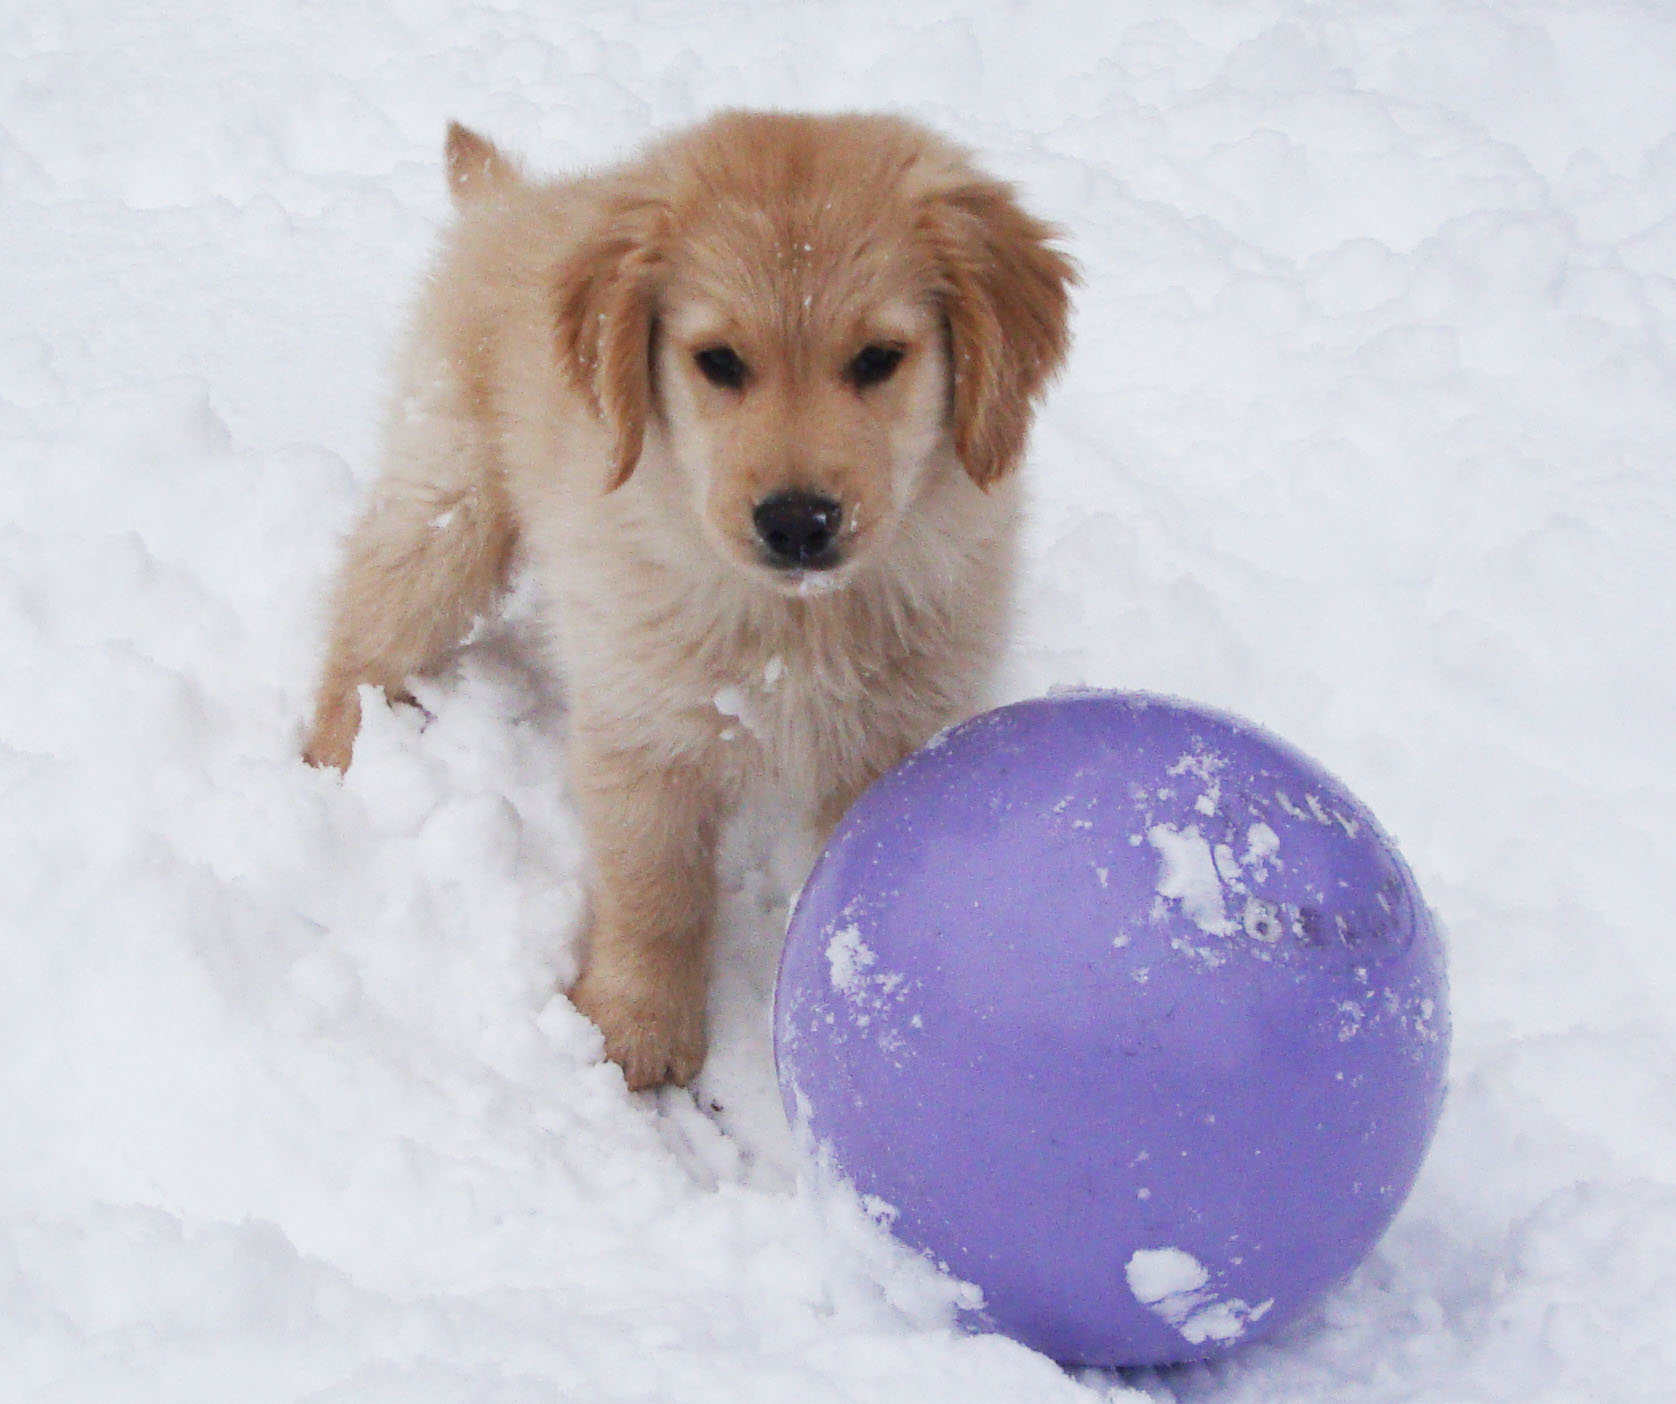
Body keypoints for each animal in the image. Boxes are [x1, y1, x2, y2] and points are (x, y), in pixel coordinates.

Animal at [305, 115, 1072, 1092]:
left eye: (878, 360)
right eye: (719, 363)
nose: (797, 522)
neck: (797, 622)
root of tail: (516, 202)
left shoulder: (892, 742)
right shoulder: (646, 727)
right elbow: (655, 891)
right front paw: (637, 1032)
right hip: (451, 502)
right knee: (371, 618)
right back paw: (341, 758)